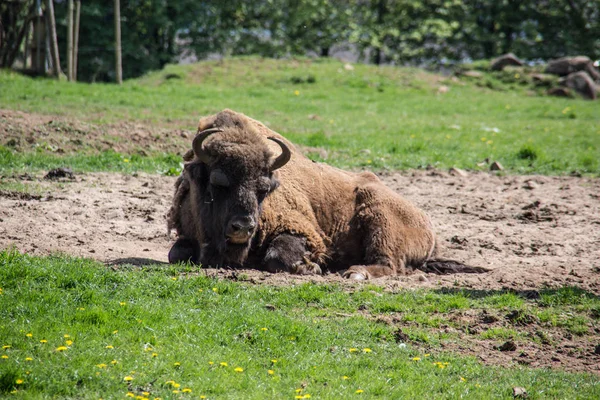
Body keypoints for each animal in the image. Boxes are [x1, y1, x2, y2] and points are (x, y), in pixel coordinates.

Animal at [166, 109, 486, 278]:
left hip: (379, 220)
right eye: (218, 183)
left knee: (387, 264)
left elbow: (278, 256)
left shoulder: (304, 231)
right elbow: (176, 253)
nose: (243, 227)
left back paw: (355, 273)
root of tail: (427, 224)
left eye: (264, 189)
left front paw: (310, 268)